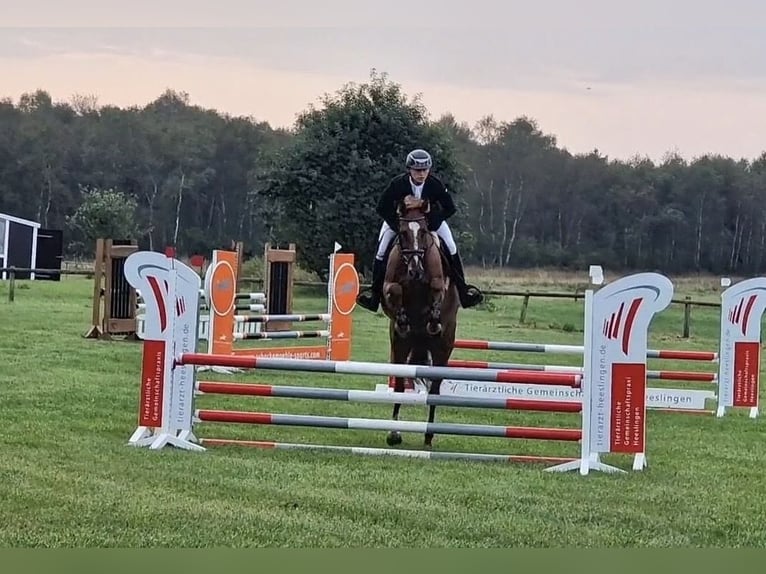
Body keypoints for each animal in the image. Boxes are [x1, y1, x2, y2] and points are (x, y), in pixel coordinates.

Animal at [380, 196, 460, 452]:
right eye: (403, 233)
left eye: (424, 231)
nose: (415, 269)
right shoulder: (388, 286)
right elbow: (394, 289)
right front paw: (403, 318)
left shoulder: (439, 281)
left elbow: (436, 286)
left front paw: (433, 317)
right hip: (400, 345)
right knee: (399, 384)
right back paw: (394, 433)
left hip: (443, 347)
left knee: (434, 388)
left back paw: (428, 435)